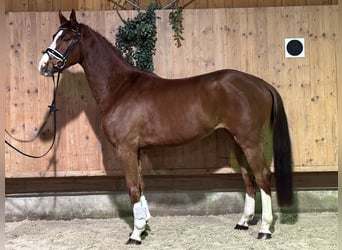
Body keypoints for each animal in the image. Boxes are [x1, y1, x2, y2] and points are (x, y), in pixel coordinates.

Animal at [38, 9, 292, 244]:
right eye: (54, 36)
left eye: (67, 38)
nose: (43, 66)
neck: (120, 87)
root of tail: (260, 83)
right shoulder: (136, 150)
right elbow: (141, 185)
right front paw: (143, 226)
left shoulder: (126, 149)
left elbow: (132, 188)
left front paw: (136, 234)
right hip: (237, 141)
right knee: (249, 177)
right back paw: (243, 222)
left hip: (250, 142)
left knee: (262, 176)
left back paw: (265, 229)